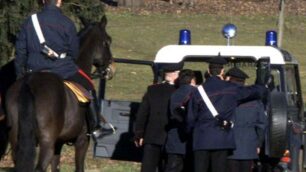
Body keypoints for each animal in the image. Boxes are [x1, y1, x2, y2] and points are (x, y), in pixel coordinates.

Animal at [0, 15, 113, 171]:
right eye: (108, 41)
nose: (109, 68)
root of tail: (29, 83)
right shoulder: (82, 141)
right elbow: (79, 167)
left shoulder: (59, 143)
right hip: (47, 143)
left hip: (17, 141)